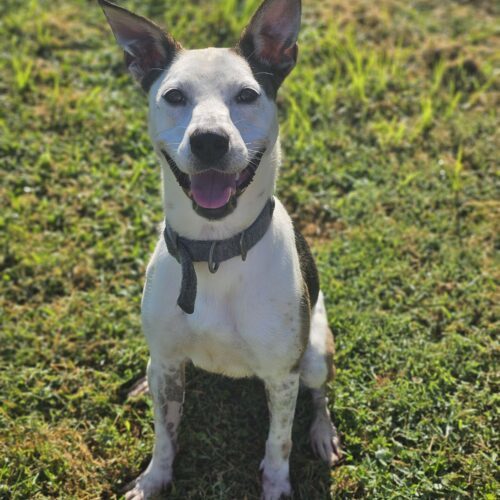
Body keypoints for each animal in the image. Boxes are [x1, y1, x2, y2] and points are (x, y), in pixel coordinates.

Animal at [99, 0, 342, 498]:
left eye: (247, 95)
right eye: (174, 96)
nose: (209, 140)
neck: (213, 252)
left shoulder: (282, 376)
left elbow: (278, 441)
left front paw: (276, 485)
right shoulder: (167, 364)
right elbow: (165, 434)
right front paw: (154, 479)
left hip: (313, 355)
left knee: (320, 393)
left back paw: (323, 433)